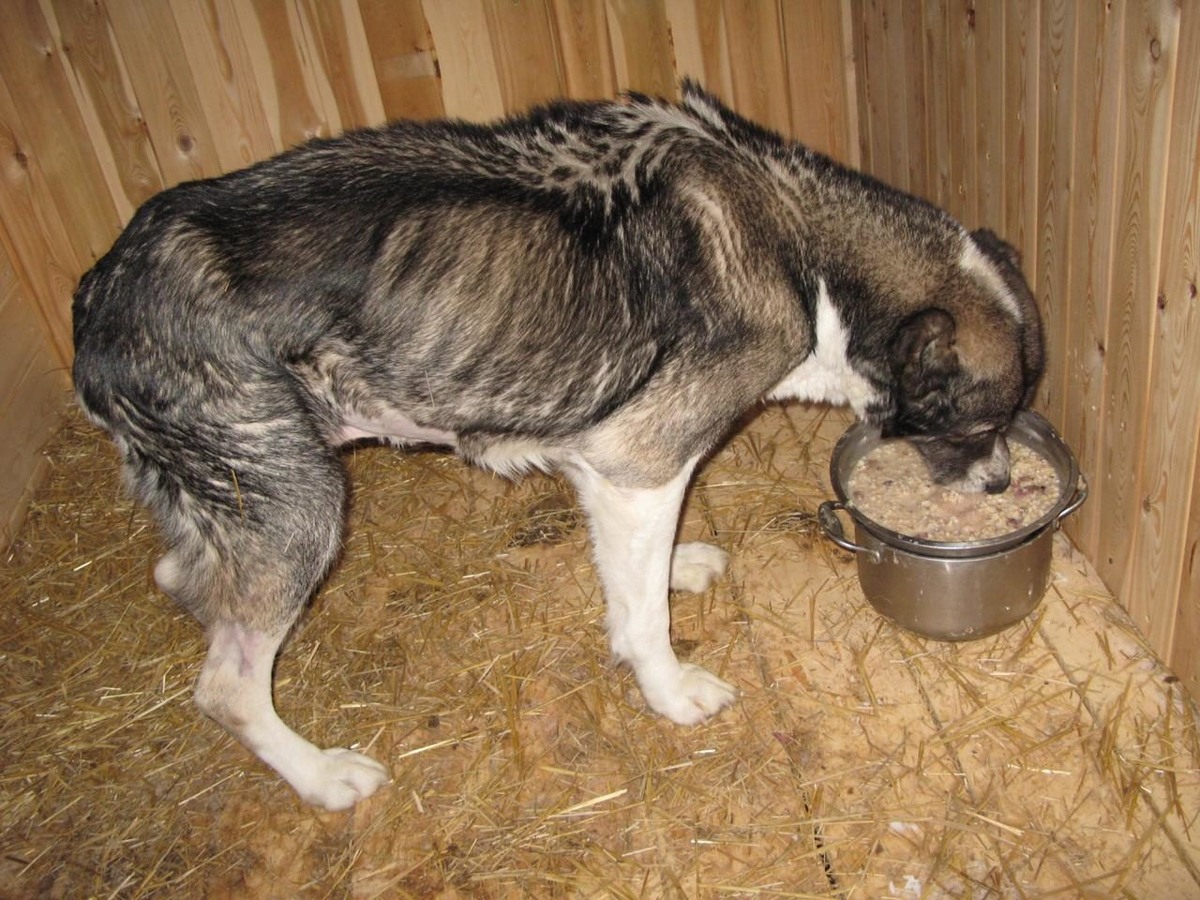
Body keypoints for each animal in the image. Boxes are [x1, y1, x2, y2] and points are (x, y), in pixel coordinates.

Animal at [72, 82, 1041, 811]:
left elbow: (636, 576)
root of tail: (100, 295)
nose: (1002, 486)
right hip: (300, 508)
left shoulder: (612, 474)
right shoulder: (638, 464)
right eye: (983, 427)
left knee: (180, 578)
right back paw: (320, 776)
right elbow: (642, 621)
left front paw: (674, 567)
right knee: (226, 685)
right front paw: (670, 693)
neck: (802, 255)